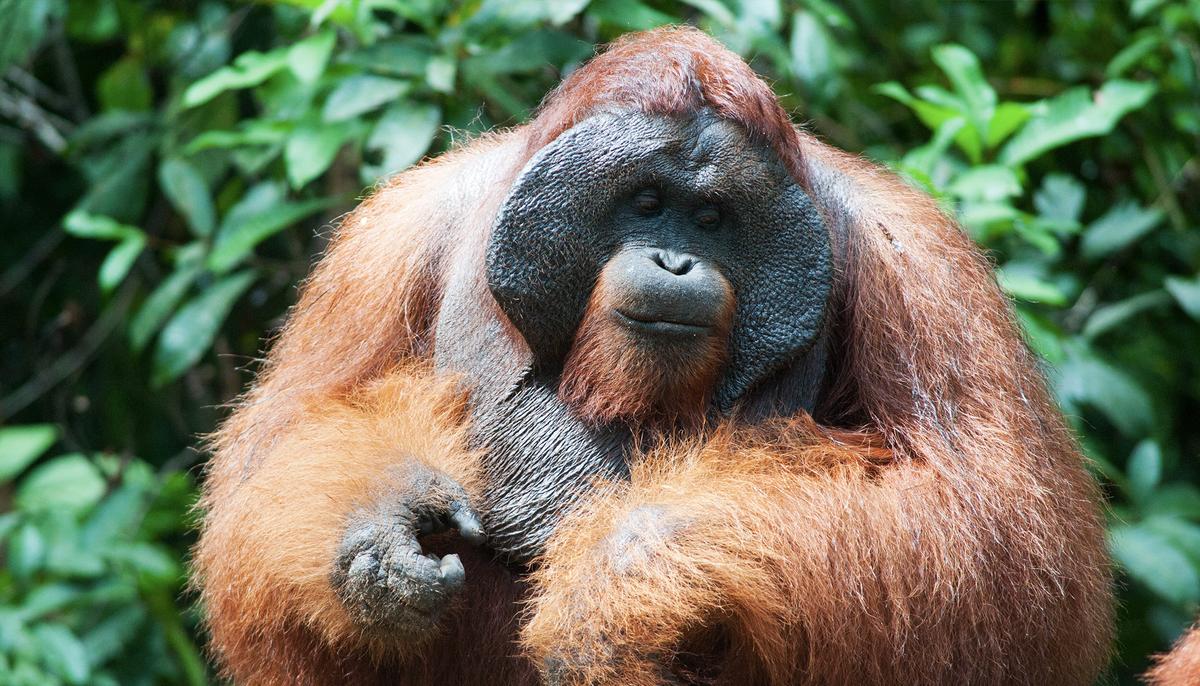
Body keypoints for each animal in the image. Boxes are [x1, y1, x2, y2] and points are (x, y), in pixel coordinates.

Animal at [195, 26, 1114, 686]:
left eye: (710, 218)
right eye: (643, 202)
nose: (674, 262)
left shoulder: (920, 264)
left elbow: (1004, 533)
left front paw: (625, 576)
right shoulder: (387, 239)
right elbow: (270, 460)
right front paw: (378, 532)